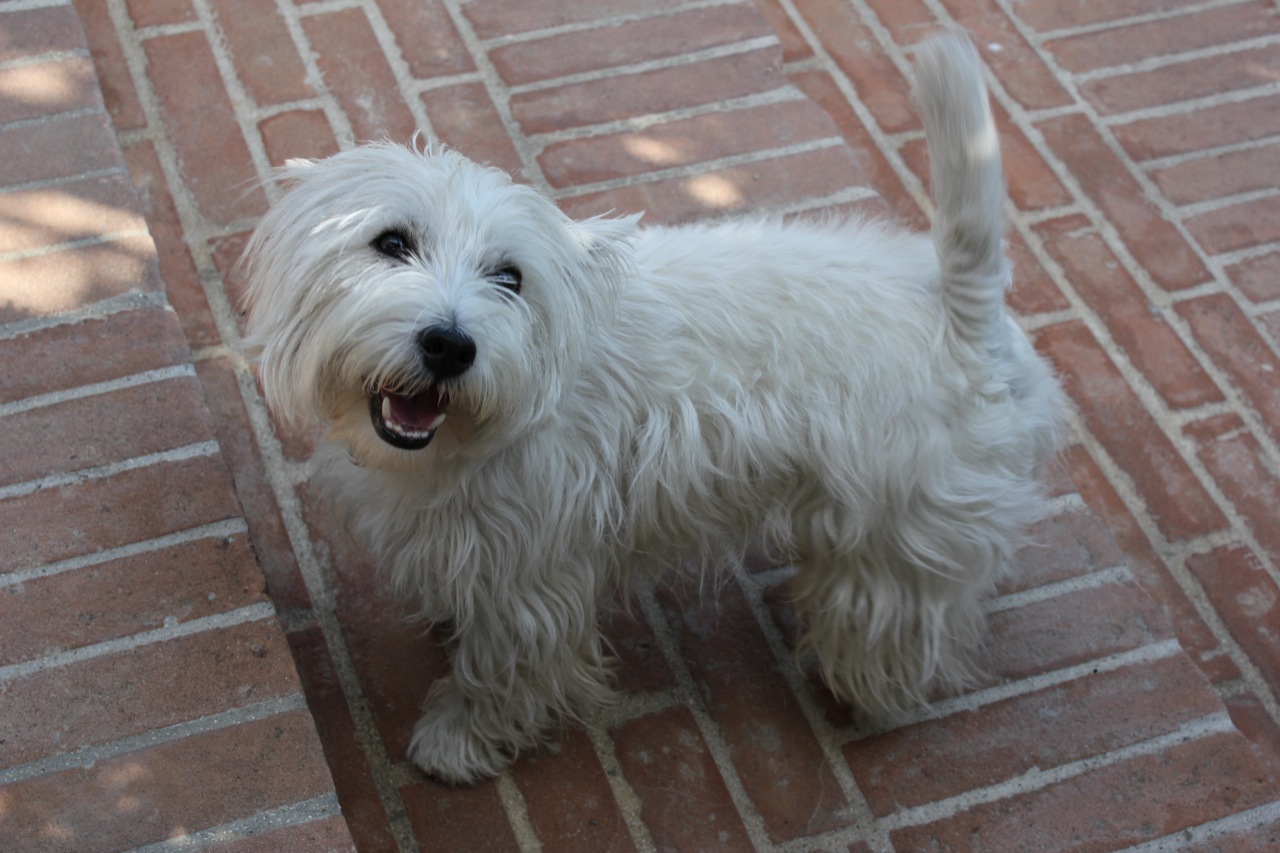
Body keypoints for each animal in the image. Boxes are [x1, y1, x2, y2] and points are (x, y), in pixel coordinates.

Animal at [240, 33, 1065, 784]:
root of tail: (958, 313)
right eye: (391, 241)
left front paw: (457, 739)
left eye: (510, 277)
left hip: (896, 532)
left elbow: (502, 670)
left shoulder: (529, 576)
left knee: (898, 616)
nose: (448, 344)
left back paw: (868, 685)